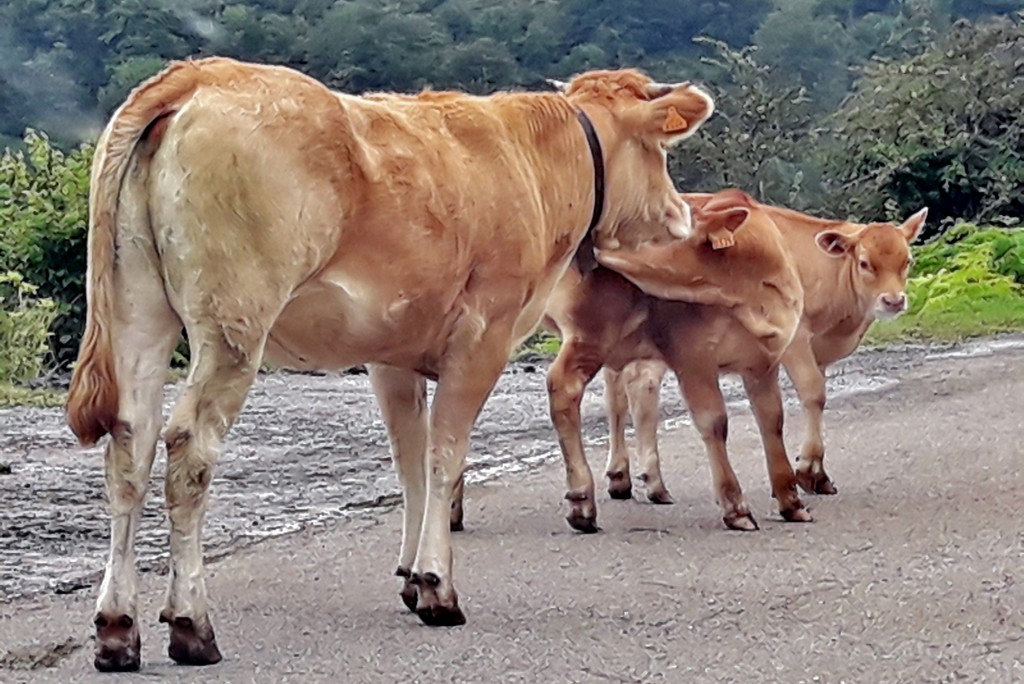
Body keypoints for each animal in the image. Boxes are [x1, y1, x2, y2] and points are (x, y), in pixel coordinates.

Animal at [602, 192, 925, 501]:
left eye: (907, 261)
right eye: (865, 263)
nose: (893, 300)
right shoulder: (795, 340)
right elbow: (814, 393)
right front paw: (809, 471)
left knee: (617, 395)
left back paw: (623, 476)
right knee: (640, 390)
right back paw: (652, 481)